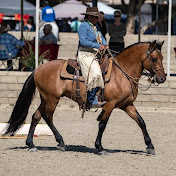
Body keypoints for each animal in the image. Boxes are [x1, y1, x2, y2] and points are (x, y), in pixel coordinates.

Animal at [4, 40, 166, 155]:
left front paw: (150, 146)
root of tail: (38, 68)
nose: (162, 78)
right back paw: (59, 142)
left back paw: (32, 144)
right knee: (47, 116)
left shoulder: (127, 105)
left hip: (46, 99)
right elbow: (103, 124)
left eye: (162, 57)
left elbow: (141, 122)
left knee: (36, 116)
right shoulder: (109, 105)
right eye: (154, 58)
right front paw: (100, 147)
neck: (121, 74)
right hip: (51, 99)